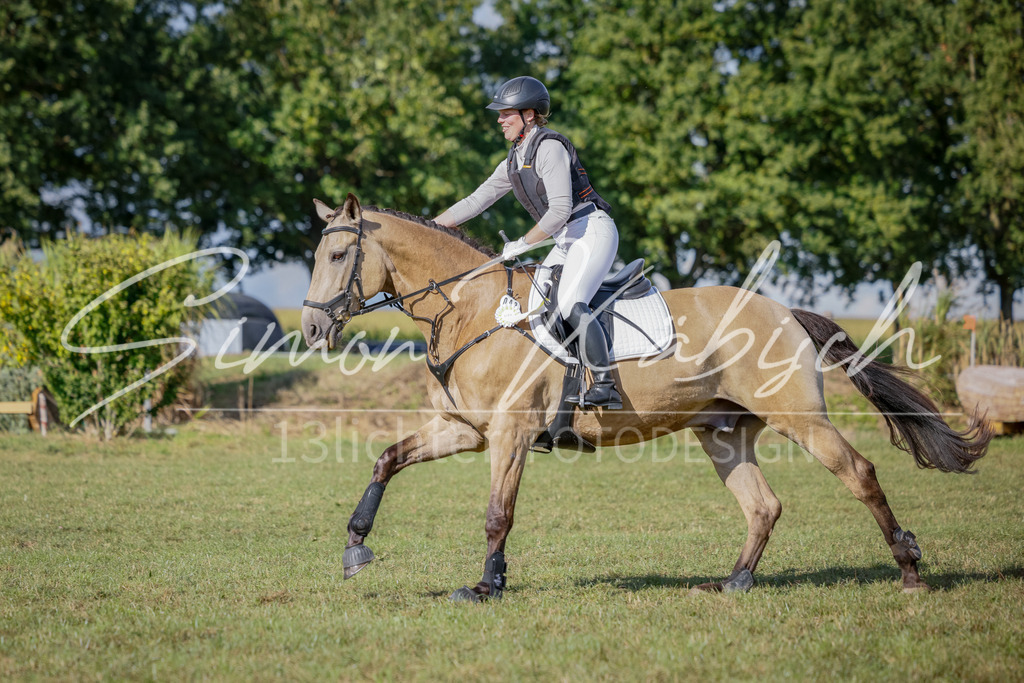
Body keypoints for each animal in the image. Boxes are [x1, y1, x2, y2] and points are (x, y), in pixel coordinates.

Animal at [301, 194, 991, 601]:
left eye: (338, 254)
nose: (310, 330)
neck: (470, 309)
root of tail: (783, 311)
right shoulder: (464, 429)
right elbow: (388, 459)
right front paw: (356, 547)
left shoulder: (510, 435)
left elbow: (499, 513)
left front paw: (486, 586)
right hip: (723, 434)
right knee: (763, 505)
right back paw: (734, 582)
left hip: (799, 418)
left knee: (859, 472)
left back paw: (909, 570)